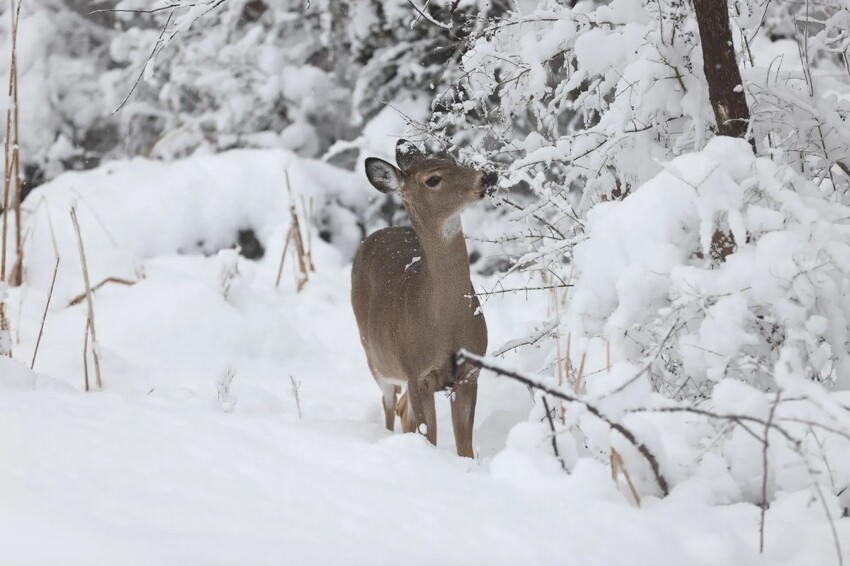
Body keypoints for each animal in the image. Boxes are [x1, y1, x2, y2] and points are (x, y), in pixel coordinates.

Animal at [350, 140, 494, 460]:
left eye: (451, 159)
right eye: (433, 179)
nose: (486, 176)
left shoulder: (470, 372)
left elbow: (464, 446)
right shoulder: (417, 373)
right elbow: (429, 437)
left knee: (402, 410)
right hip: (374, 355)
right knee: (389, 404)